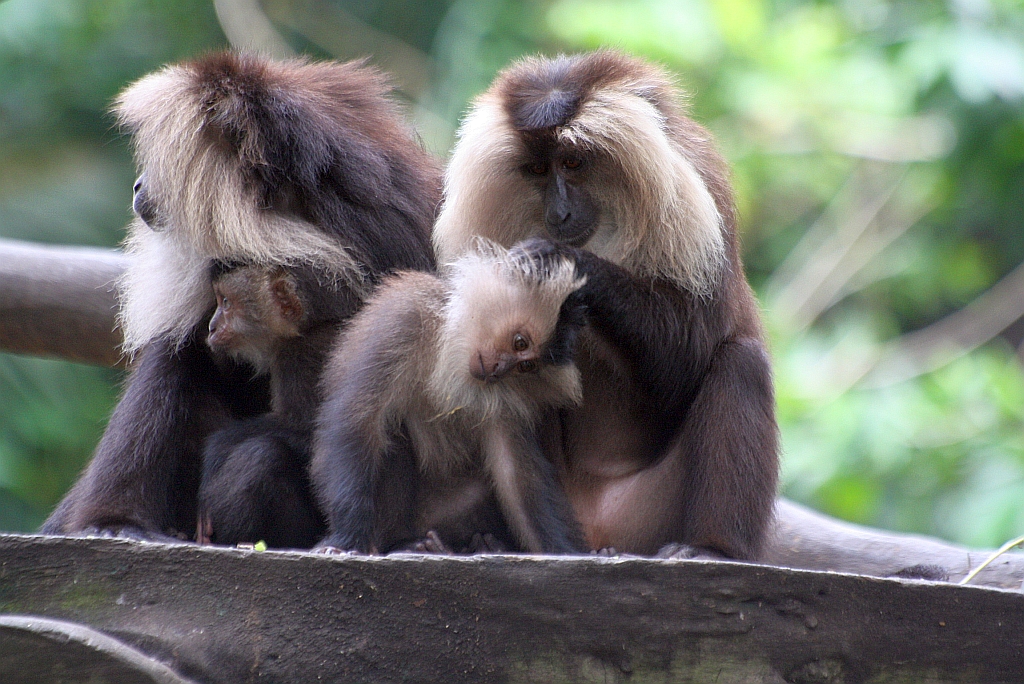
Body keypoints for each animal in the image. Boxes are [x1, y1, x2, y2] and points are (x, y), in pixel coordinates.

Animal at [309, 242, 585, 552]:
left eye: (525, 366)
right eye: (520, 343)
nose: (499, 370)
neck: (449, 347)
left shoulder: (505, 399)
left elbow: (514, 473)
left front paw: (567, 553)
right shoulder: (404, 320)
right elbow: (357, 423)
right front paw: (347, 540)